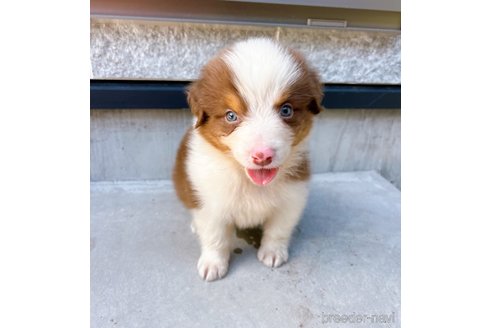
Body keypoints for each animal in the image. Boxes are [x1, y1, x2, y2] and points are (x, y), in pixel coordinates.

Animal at [173, 37, 322, 280]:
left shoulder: (292, 198)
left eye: (286, 110)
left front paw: (273, 252)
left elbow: (278, 230)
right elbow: (215, 237)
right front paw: (213, 263)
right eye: (231, 115)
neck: (250, 182)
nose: (262, 156)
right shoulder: (210, 202)